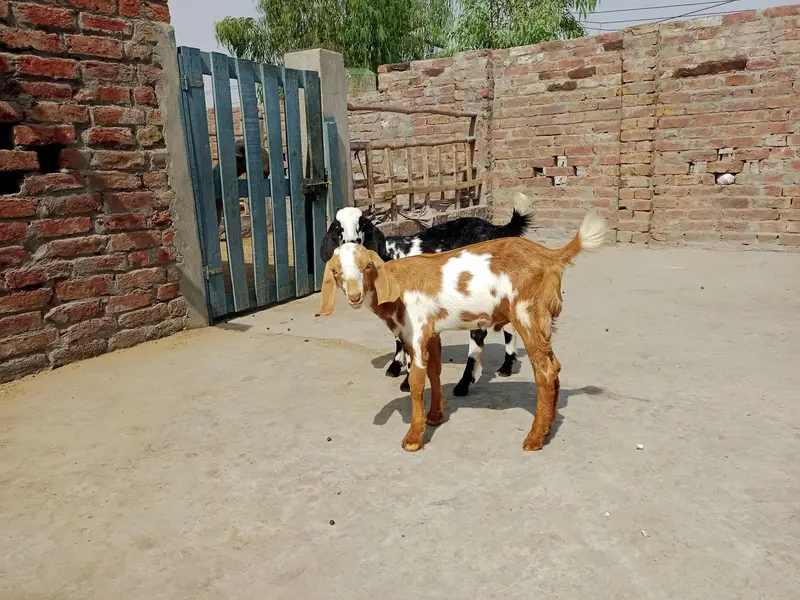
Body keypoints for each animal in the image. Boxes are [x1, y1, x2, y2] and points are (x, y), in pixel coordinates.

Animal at [319, 193, 535, 396]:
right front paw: (395, 366)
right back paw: (506, 366)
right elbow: (398, 338)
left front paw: (407, 381)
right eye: (337, 227)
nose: (351, 243)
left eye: (363, 224)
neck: (389, 256)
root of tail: (495, 230)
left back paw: (464, 384)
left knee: (479, 335)